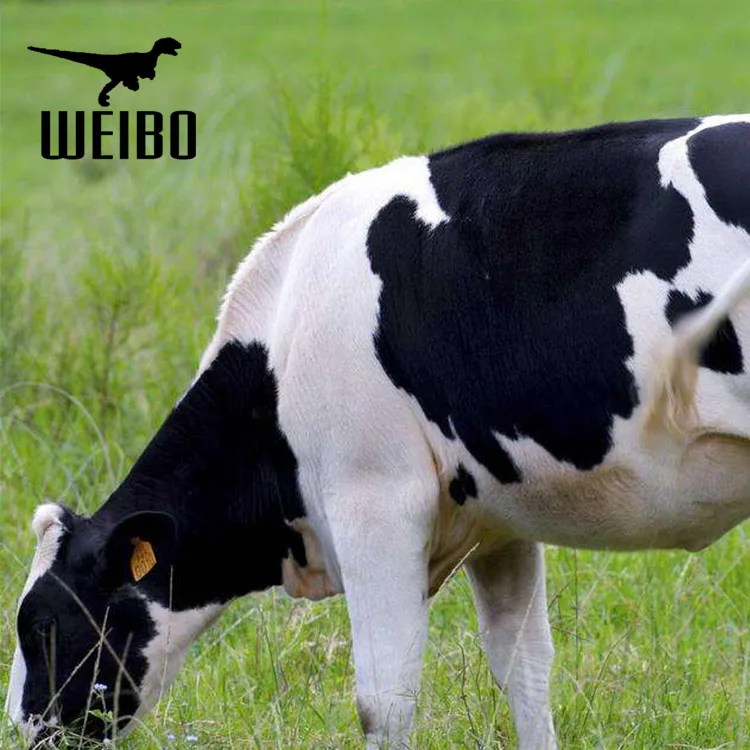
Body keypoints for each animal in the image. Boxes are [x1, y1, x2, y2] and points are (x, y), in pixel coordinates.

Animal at [6, 114, 750, 749]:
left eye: (39, 624)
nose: (21, 727)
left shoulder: (376, 503)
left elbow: (383, 699)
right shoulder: (499, 521)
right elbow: (525, 669)